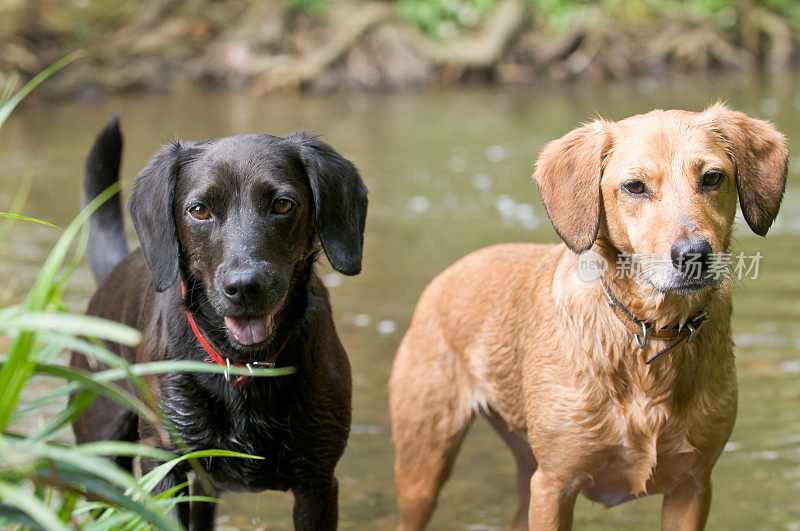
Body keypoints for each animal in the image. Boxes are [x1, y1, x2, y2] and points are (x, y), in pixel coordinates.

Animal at [72, 118, 366, 528]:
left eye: (282, 204)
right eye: (199, 210)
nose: (244, 287)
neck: (242, 364)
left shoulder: (318, 481)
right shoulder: (164, 463)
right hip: (100, 457)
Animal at [388, 105, 788, 531]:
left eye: (712, 177)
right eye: (635, 186)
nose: (693, 254)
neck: (650, 333)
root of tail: (444, 277)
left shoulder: (692, 485)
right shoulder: (554, 484)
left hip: (524, 462)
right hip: (424, 466)